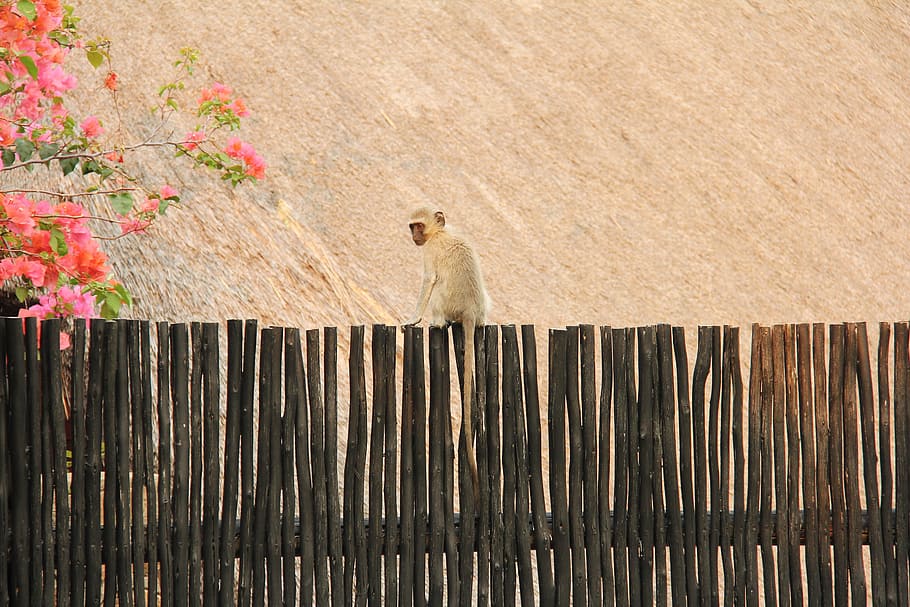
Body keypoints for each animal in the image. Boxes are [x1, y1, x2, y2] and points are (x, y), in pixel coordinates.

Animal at [404, 206, 489, 503]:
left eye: (418, 226)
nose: (415, 236)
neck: (440, 233)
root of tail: (471, 312)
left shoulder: (430, 251)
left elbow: (429, 280)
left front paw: (414, 318)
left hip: (447, 302)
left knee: (438, 288)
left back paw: (438, 323)